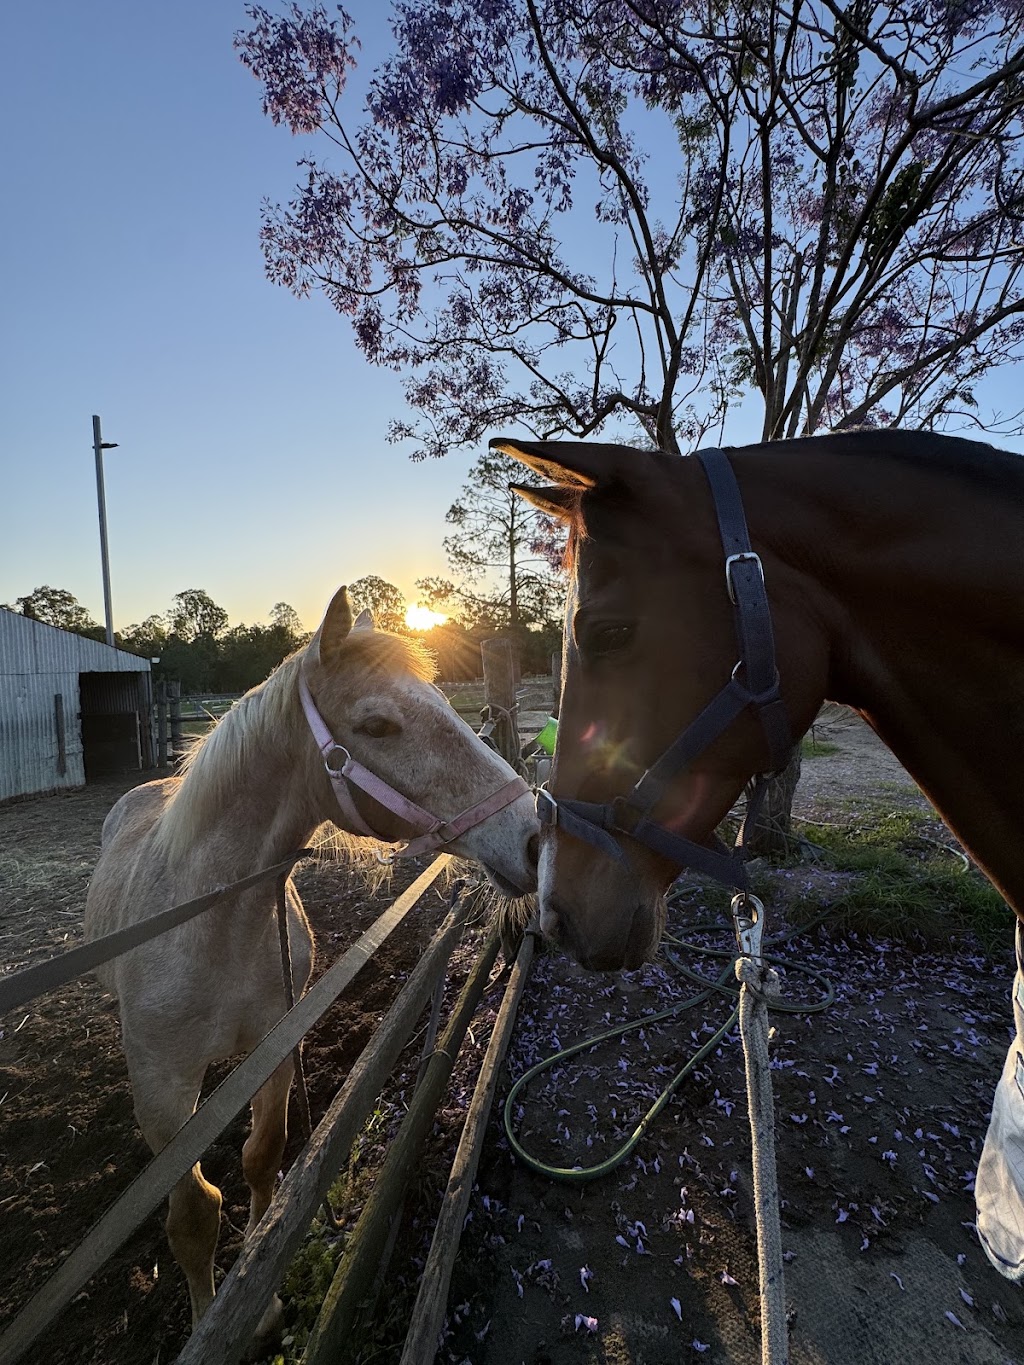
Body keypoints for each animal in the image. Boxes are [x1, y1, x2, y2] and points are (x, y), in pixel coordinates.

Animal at [84, 585, 539, 1332]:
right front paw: (212, 1320)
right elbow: (192, 1217)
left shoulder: (274, 1047)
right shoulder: (161, 1087)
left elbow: (261, 1159)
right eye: (377, 722)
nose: (534, 836)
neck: (215, 925)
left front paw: (257, 1298)